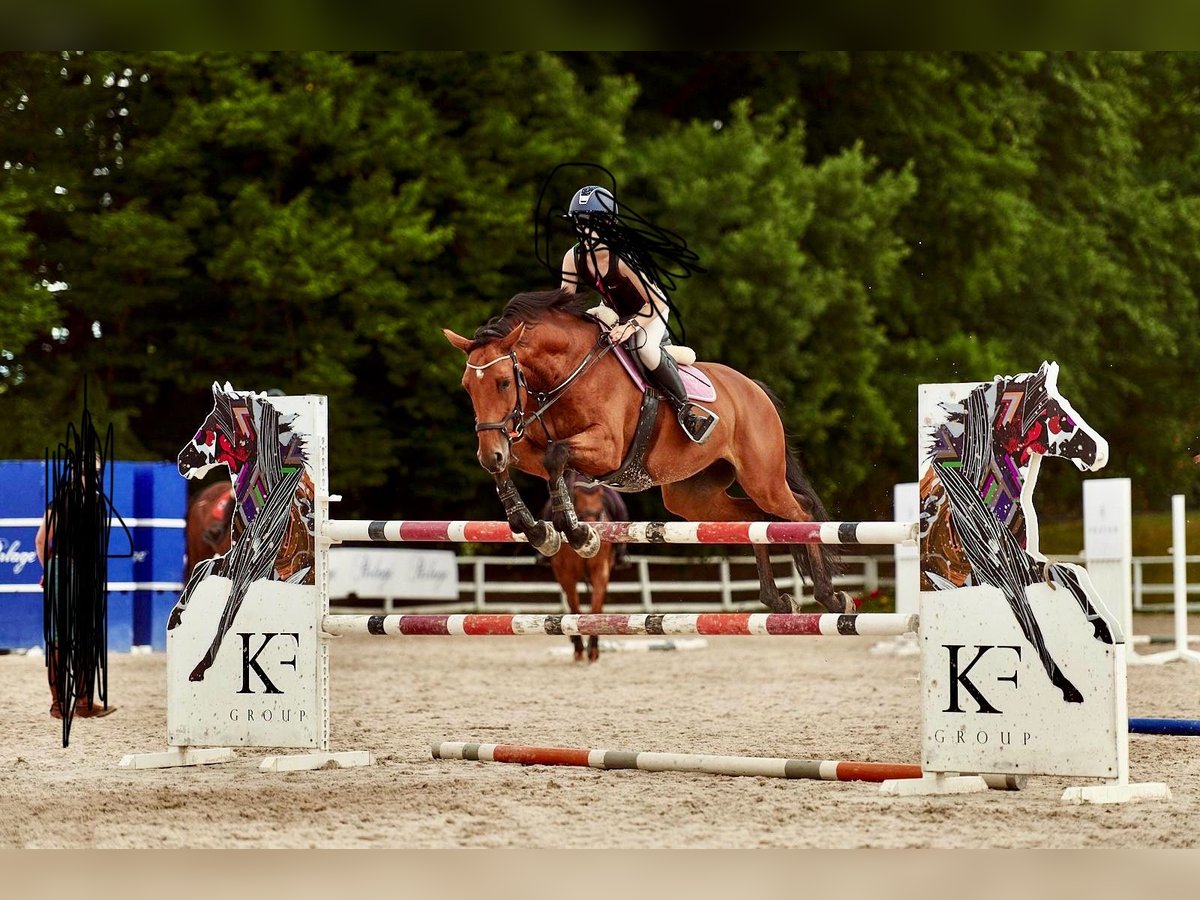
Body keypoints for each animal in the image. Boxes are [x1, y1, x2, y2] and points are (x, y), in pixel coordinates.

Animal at [444, 292, 854, 619]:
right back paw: (777, 599)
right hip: (692, 496)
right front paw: (537, 530)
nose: (488, 454)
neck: (566, 373)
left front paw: (579, 535)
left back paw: (831, 598)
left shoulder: (607, 448)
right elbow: (526, 466)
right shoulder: (522, 447)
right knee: (754, 521)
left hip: (761, 479)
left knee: (800, 513)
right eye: (467, 387)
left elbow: (556, 456)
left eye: (503, 383)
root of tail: (754, 389)